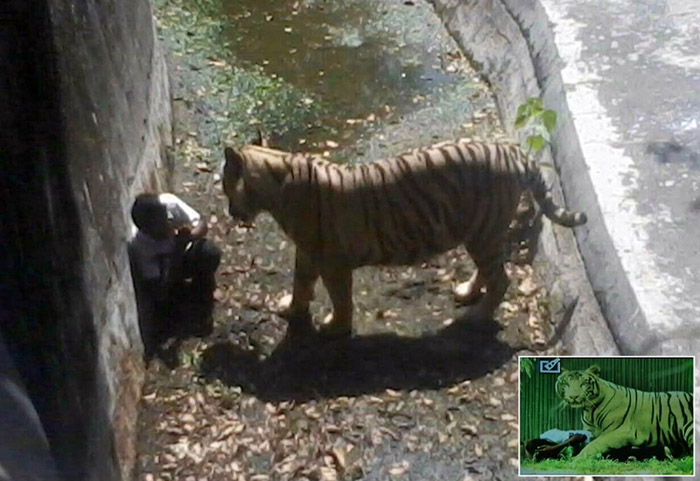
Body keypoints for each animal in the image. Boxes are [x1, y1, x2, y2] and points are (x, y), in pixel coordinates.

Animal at [221, 137, 588, 336]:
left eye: (225, 184)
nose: (229, 211)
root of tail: (514, 152)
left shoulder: (332, 262)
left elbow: (340, 298)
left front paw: (335, 328)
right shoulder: (308, 252)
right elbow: (301, 283)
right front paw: (292, 308)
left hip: (484, 232)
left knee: (501, 279)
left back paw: (475, 316)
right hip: (479, 234)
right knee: (489, 271)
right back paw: (467, 293)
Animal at [556, 364, 692, 458]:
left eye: (583, 384)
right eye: (566, 384)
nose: (574, 396)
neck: (589, 410)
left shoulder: (619, 431)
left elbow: (594, 445)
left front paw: (576, 459)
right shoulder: (592, 432)